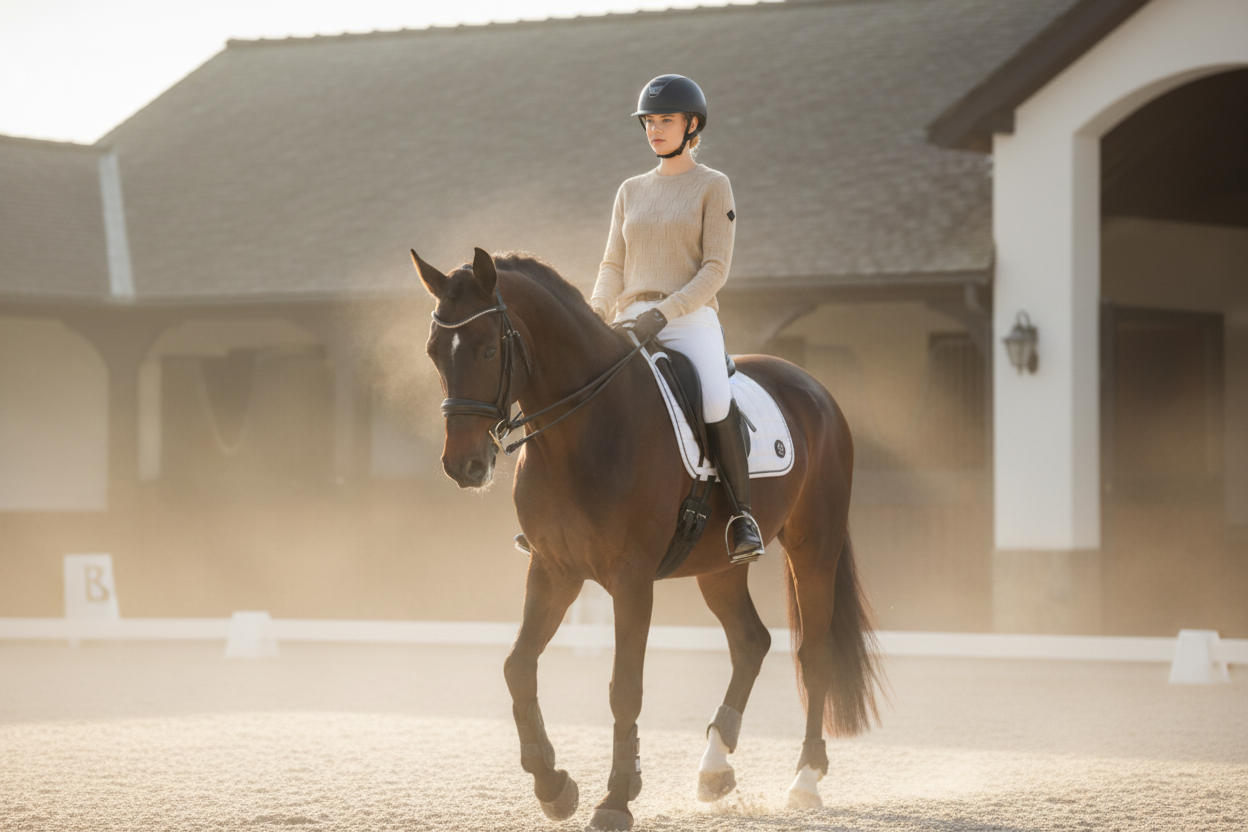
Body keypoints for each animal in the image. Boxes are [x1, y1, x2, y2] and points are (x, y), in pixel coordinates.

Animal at [412, 247, 883, 831]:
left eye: (488, 348)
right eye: (434, 352)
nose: (464, 465)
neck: (583, 427)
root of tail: (814, 388)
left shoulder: (631, 578)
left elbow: (624, 687)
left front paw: (616, 797)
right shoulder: (553, 570)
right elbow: (517, 667)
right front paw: (554, 785)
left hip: (813, 548)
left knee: (813, 653)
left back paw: (805, 780)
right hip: (720, 568)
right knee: (751, 642)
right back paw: (713, 769)